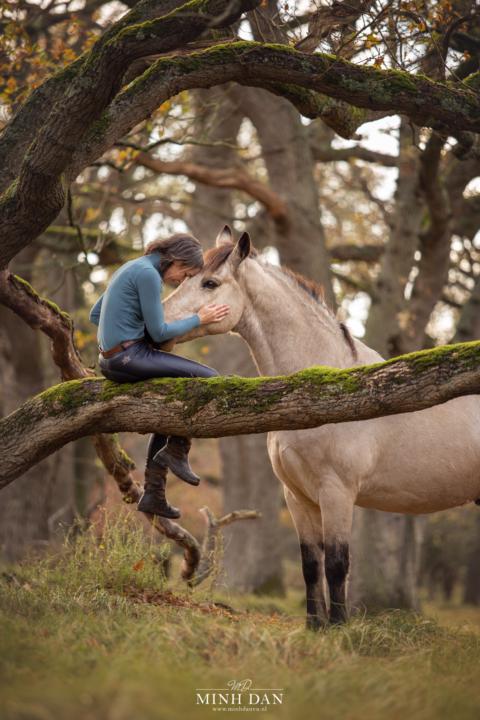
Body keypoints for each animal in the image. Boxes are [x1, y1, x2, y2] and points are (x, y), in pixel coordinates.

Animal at [162, 226, 480, 629]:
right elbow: (311, 564)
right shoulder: (297, 496)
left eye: (210, 283)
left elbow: (337, 563)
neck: (320, 394)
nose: (161, 322)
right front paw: (315, 626)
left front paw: (340, 628)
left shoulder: (337, 492)